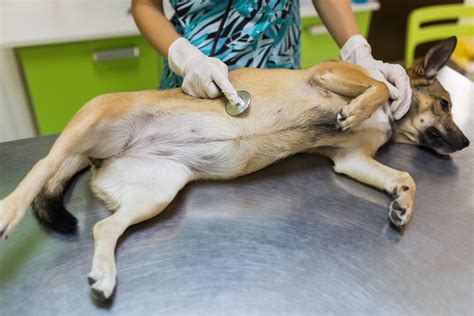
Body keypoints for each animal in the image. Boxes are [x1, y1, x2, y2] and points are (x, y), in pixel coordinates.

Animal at [0, 36, 468, 298]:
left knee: (104, 228)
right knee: (41, 167)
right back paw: (9, 211)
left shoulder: (351, 160)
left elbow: (404, 176)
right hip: (92, 121)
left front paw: (402, 203)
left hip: (155, 194)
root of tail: (98, 154)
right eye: (446, 104)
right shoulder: (328, 74)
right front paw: (356, 108)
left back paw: (104, 274)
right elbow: (376, 85)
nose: (465, 143)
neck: (392, 121)